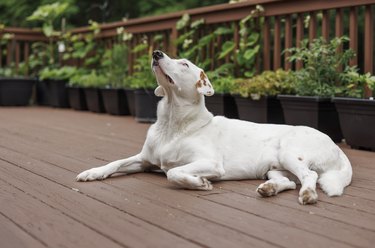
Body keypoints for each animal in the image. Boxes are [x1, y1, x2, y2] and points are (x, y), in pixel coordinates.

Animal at [76, 50, 352, 203]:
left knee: (309, 176)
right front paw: (93, 172)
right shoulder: (144, 159)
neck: (173, 123)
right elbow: (116, 162)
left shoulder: (209, 163)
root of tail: (338, 149)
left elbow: (173, 172)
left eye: (185, 63)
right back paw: (269, 188)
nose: (156, 53)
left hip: (290, 152)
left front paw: (199, 183)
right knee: (289, 182)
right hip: (274, 168)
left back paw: (308, 194)